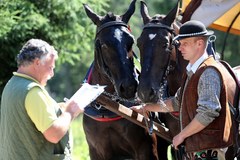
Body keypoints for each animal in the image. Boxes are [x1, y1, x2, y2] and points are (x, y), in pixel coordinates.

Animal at [81, 0, 158, 159]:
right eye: (104, 44)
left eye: (131, 41)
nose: (129, 87)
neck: (108, 107)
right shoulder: (96, 151)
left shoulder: (147, 149)